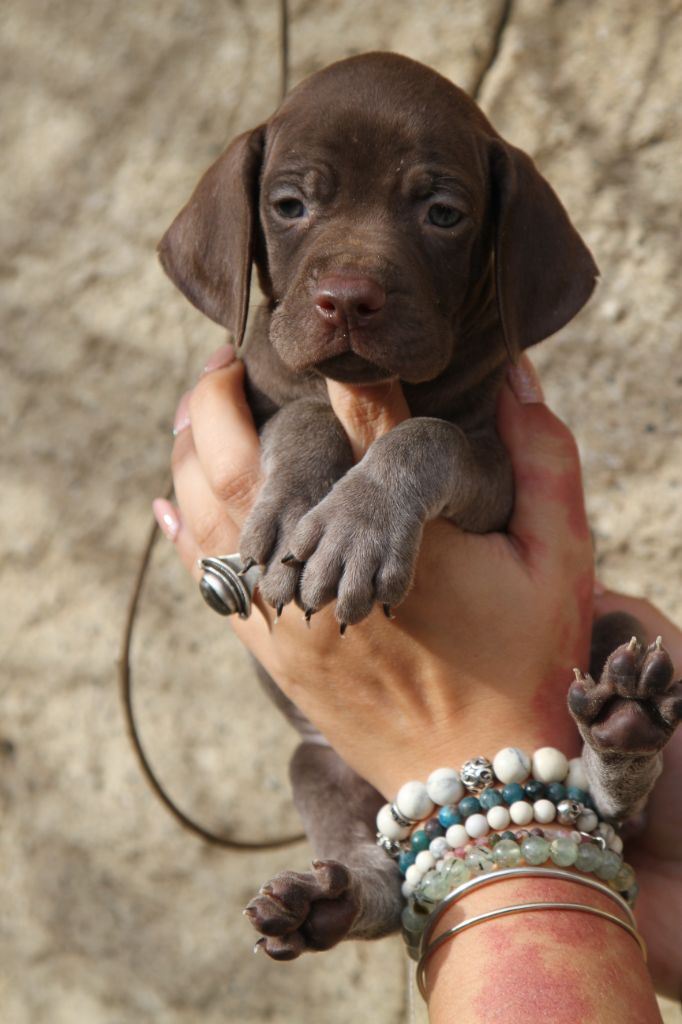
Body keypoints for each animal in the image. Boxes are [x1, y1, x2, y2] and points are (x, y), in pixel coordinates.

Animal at [157, 51, 675, 954]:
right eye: (290, 206)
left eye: (442, 214)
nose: (347, 299)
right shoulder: (257, 390)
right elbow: (302, 413)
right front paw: (294, 501)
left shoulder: (496, 468)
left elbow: (425, 434)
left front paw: (354, 527)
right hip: (316, 761)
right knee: (377, 869)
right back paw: (328, 901)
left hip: (615, 626)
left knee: (611, 798)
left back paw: (623, 729)